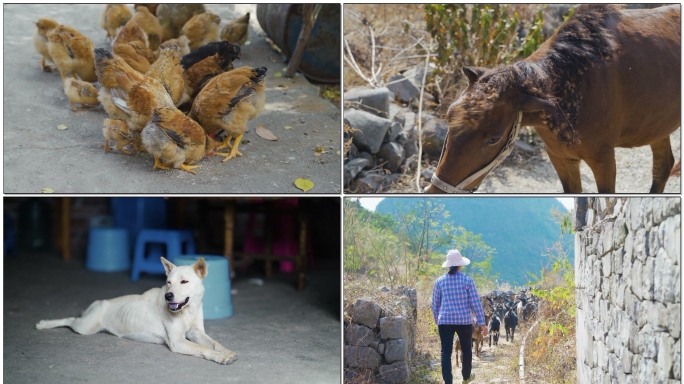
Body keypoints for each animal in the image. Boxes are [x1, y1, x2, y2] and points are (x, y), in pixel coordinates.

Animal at [35, 256, 238, 364]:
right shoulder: (178, 341)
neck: (187, 310)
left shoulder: (196, 332)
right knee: (69, 320)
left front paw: (226, 351)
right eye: (168, 282)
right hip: (86, 327)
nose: (168, 296)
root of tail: (99, 302)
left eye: (184, 282)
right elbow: (203, 349)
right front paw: (219, 357)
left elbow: (214, 343)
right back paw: (44, 324)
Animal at [424, 3, 680, 192]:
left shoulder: (604, 159)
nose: (435, 190)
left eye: (493, 139)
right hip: (657, 126)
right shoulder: (560, 157)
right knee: (663, 166)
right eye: (449, 119)